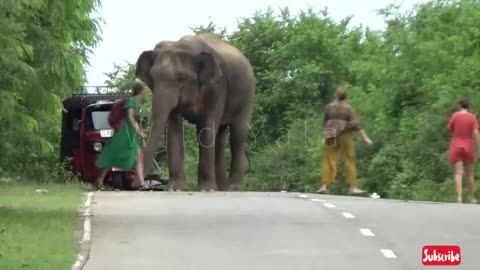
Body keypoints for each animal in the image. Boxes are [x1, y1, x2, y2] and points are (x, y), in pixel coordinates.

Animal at [133, 32, 256, 192]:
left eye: (181, 78)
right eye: (153, 78)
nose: (137, 185)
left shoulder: (216, 86)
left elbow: (206, 126)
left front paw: (205, 190)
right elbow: (174, 127)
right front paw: (175, 189)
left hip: (248, 95)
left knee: (237, 135)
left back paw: (233, 188)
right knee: (220, 136)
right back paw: (221, 188)